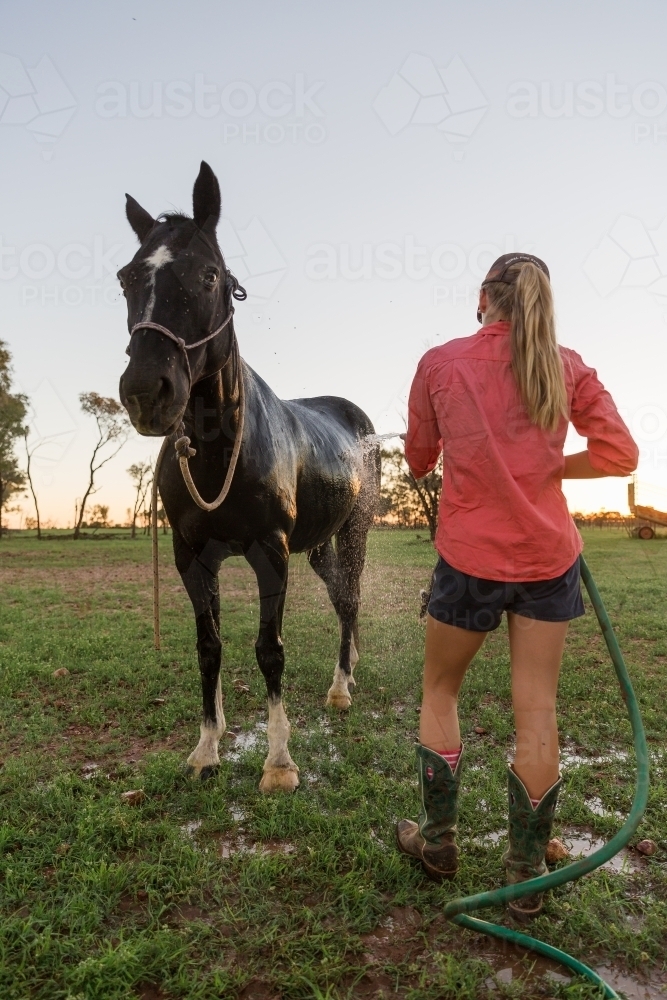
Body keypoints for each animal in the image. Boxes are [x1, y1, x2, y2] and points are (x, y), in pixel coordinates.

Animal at [118, 162, 380, 792]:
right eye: (126, 278)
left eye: (209, 275)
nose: (145, 392)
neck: (219, 452)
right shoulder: (192, 555)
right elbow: (209, 647)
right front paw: (206, 748)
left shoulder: (271, 550)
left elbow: (269, 649)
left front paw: (279, 761)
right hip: (319, 545)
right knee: (341, 597)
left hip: (353, 532)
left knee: (351, 599)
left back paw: (341, 686)